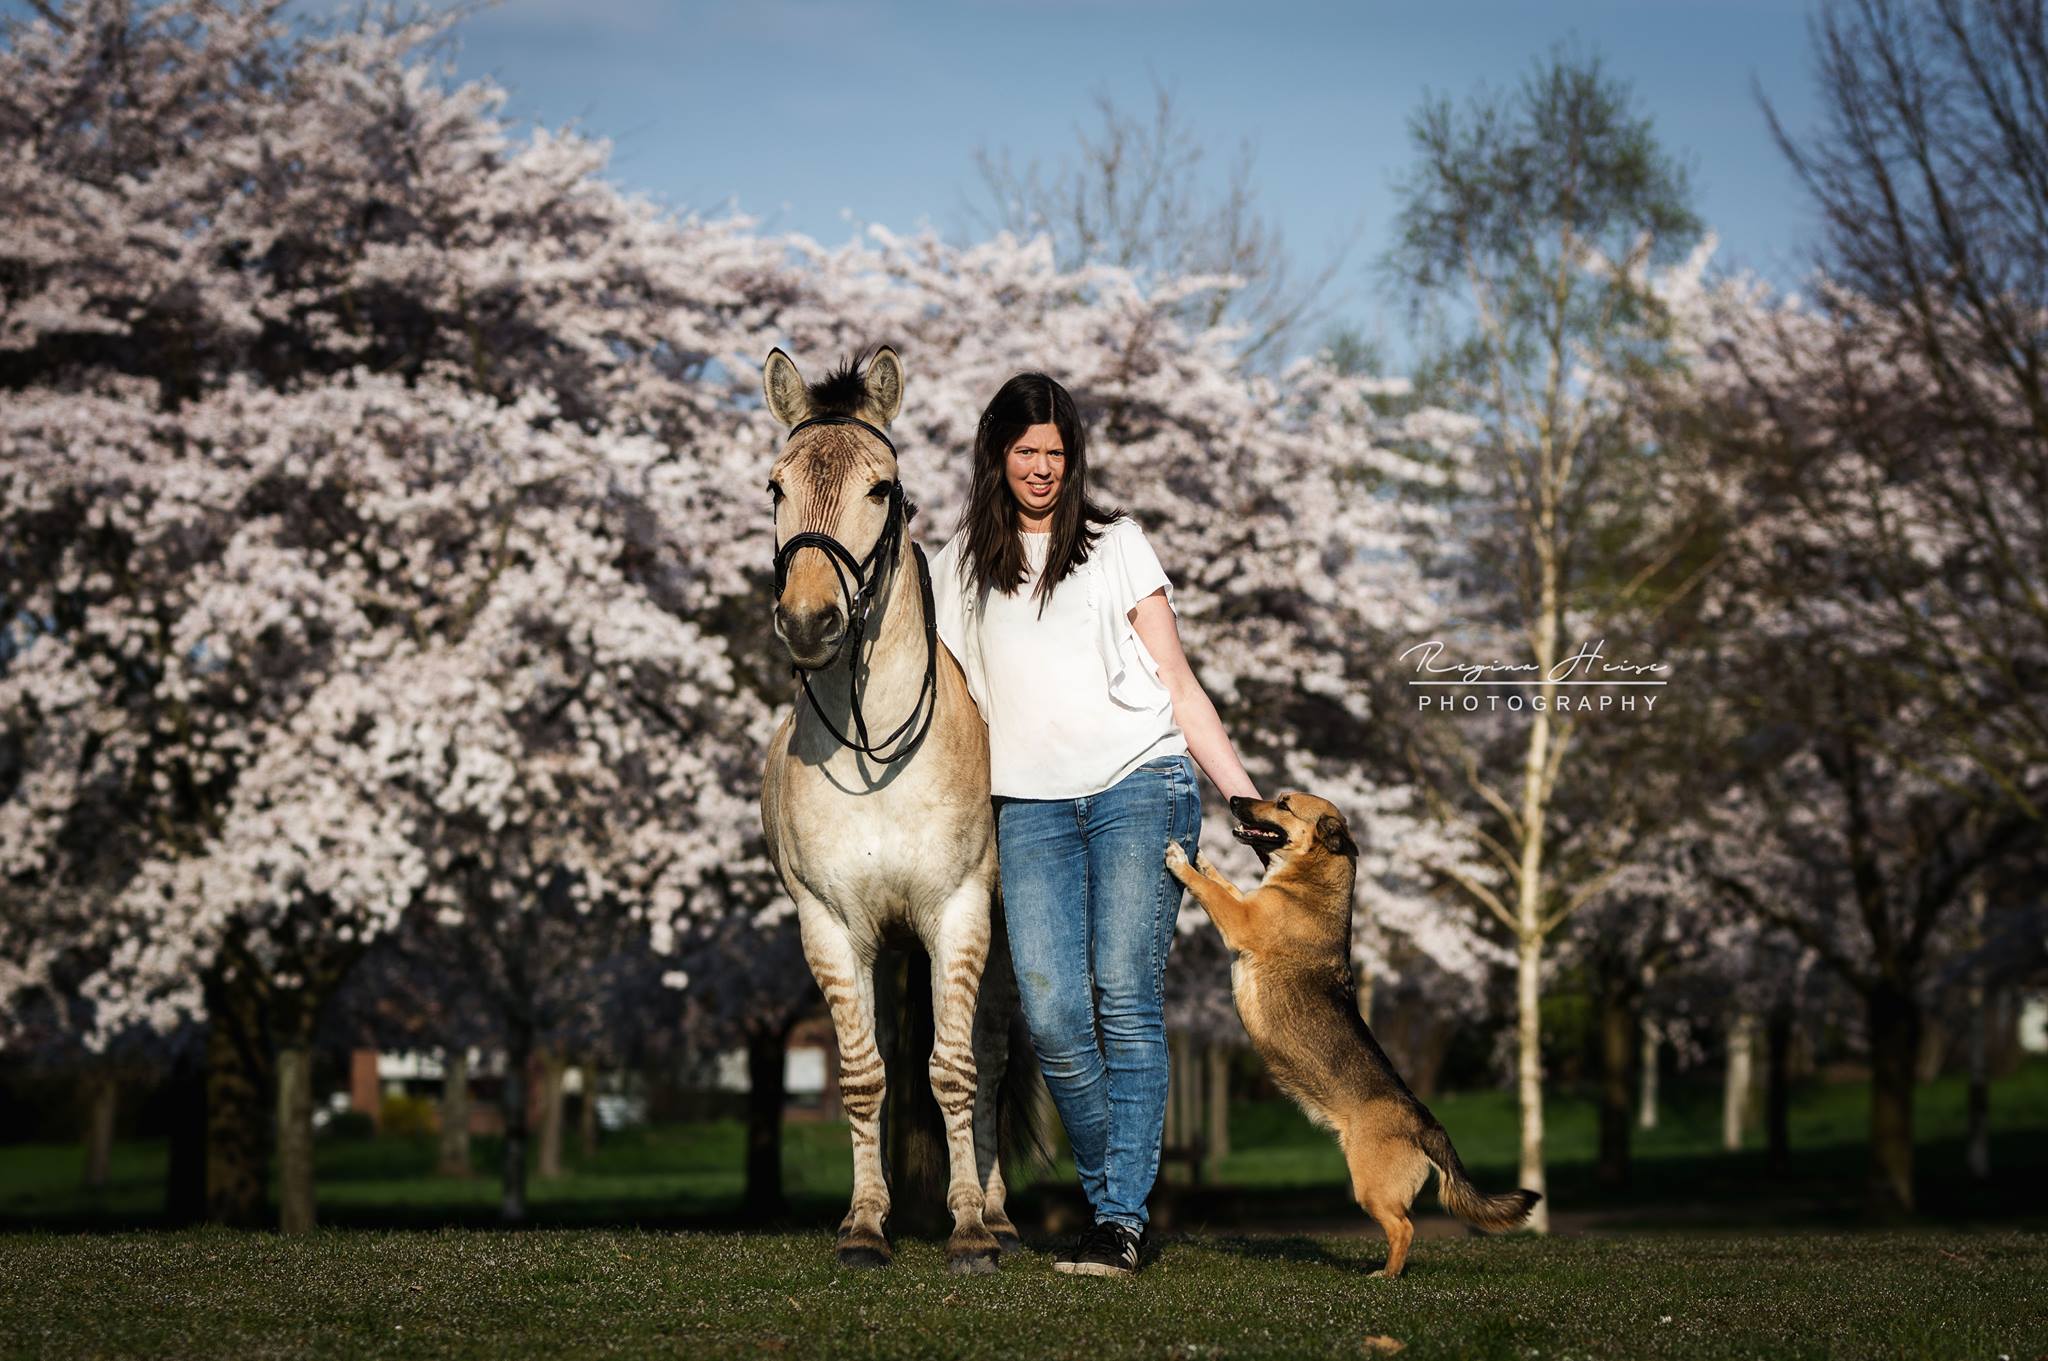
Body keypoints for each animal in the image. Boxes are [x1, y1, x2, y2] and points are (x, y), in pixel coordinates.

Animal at [757, 344, 1029, 1273]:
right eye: (775, 487)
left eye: (881, 488)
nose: (809, 620)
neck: (872, 752)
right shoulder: (833, 926)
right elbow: (862, 1073)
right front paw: (865, 1223)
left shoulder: (958, 913)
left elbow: (954, 1069)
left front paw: (971, 1229)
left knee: (993, 1056)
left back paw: (999, 1214)